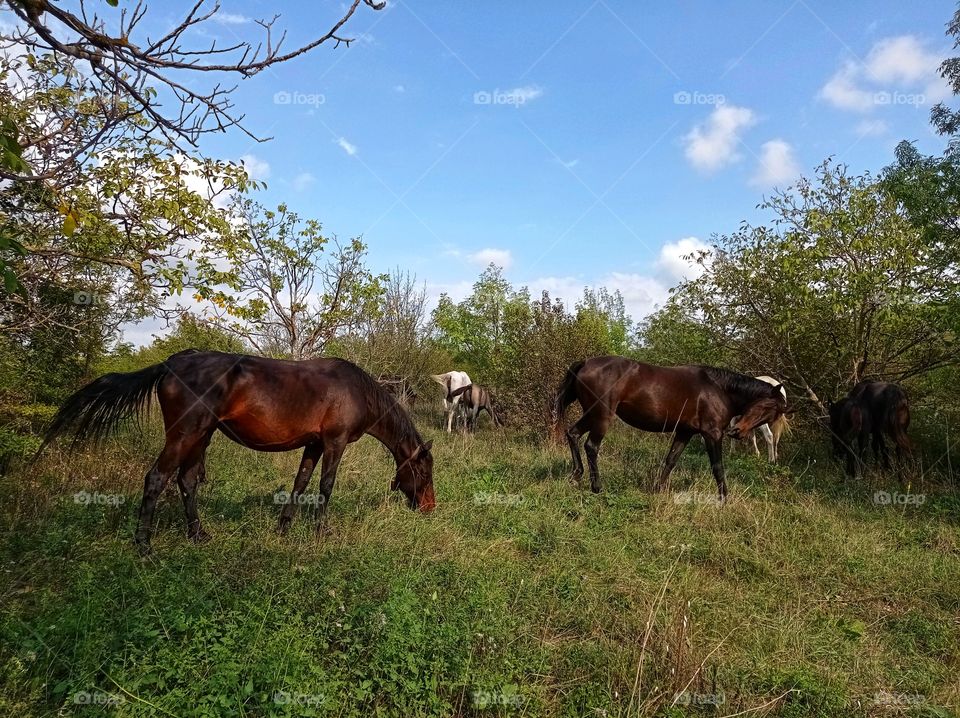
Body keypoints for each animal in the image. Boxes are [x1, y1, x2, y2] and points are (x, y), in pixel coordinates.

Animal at [39, 350, 436, 556]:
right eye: (424, 472)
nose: (430, 508)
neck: (356, 391)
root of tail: (171, 363)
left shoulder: (314, 444)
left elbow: (300, 484)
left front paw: (283, 527)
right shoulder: (333, 443)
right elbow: (325, 487)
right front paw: (322, 531)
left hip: (201, 436)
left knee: (186, 480)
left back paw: (198, 534)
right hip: (185, 435)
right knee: (157, 478)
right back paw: (144, 545)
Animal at [552, 356, 792, 500]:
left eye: (773, 412)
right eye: (766, 405)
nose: (737, 432)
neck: (718, 389)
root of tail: (585, 363)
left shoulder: (685, 432)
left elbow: (670, 461)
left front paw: (657, 489)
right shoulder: (712, 434)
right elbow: (717, 467)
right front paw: (724, 498)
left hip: (591, 416)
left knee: (572, 434)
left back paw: (576, 475)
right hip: (601, 417)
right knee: (591, 446)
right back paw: (597, 486)